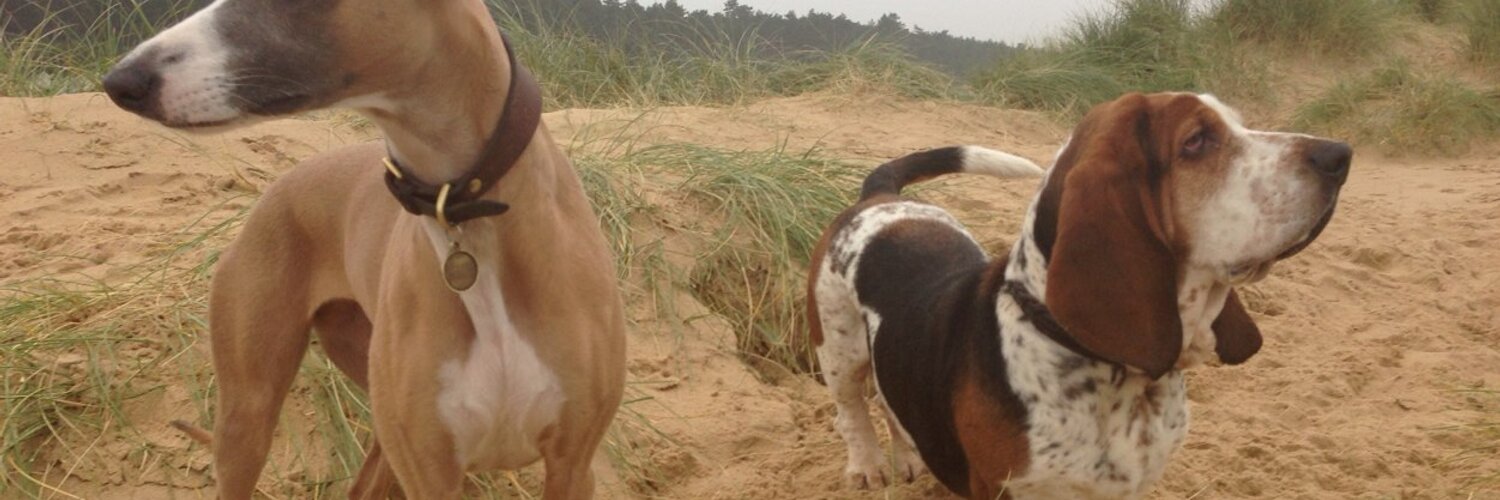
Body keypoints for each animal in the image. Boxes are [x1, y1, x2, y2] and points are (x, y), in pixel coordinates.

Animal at [101, 0, 625, 498]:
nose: (121, 82)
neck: (462, 211)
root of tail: (280, 186)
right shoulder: (430, 474)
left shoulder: (573, 467)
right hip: (249, 414)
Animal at [807, 93, 1351, 499]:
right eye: (1197, 141)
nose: (1340, 155)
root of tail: (879, 198)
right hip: (838, 349)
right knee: (851, 409)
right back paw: (868, 465)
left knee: (888, 401)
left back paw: (907, 458)